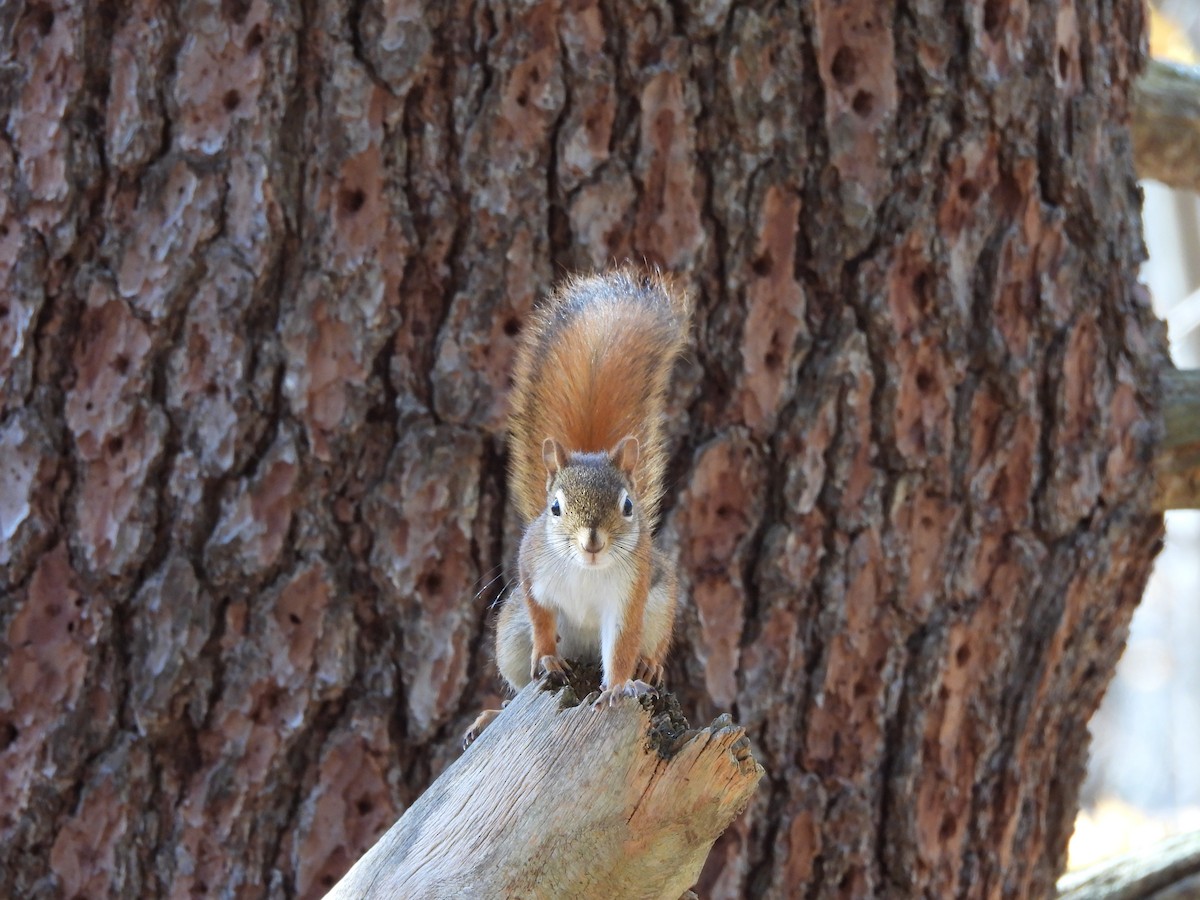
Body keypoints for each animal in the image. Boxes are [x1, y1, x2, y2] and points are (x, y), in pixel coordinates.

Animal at [463, 267, 692, 747]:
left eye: (628, 505)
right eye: (554, 508)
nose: (591, 541)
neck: (587, 571)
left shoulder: (629, 596)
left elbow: (621, 646)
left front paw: (619, 685)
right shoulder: (533, 576)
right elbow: (541, 620)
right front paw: (548, 657)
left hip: (659, 605)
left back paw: (648, 667)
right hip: (509, 638)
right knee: (519, 681)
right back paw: (493, 713)